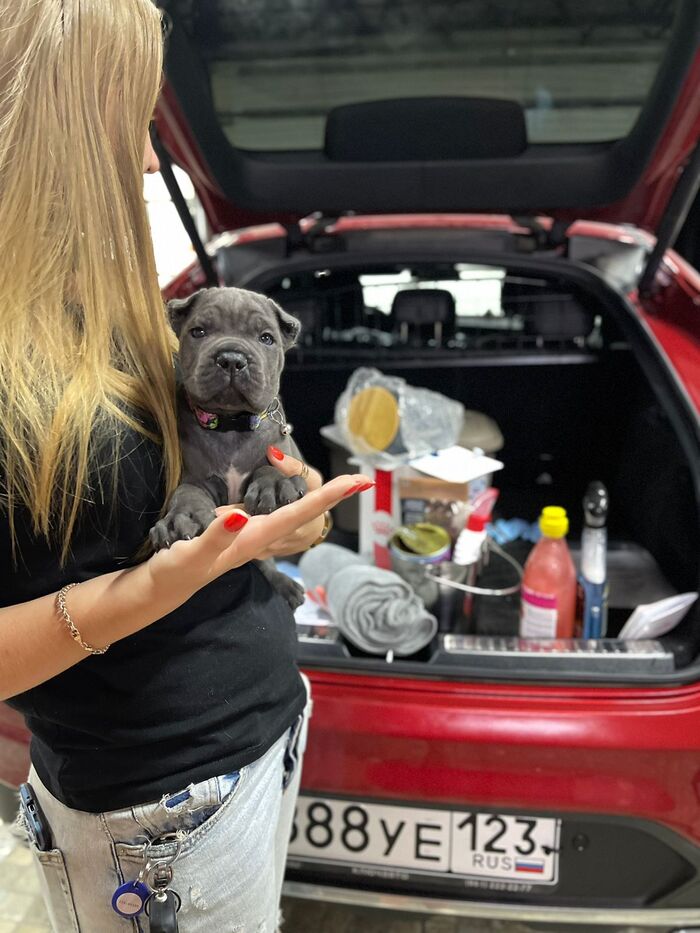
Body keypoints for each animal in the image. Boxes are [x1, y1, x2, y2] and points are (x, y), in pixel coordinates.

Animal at [149, 286, 307, 610]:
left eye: (266, 338)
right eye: (198, 331)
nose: (232, 358)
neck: (231, 425)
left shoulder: (284, 454)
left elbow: (269, 466)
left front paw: (276, 485)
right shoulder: (195, 477)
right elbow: (188, 492)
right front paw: (182, 519)